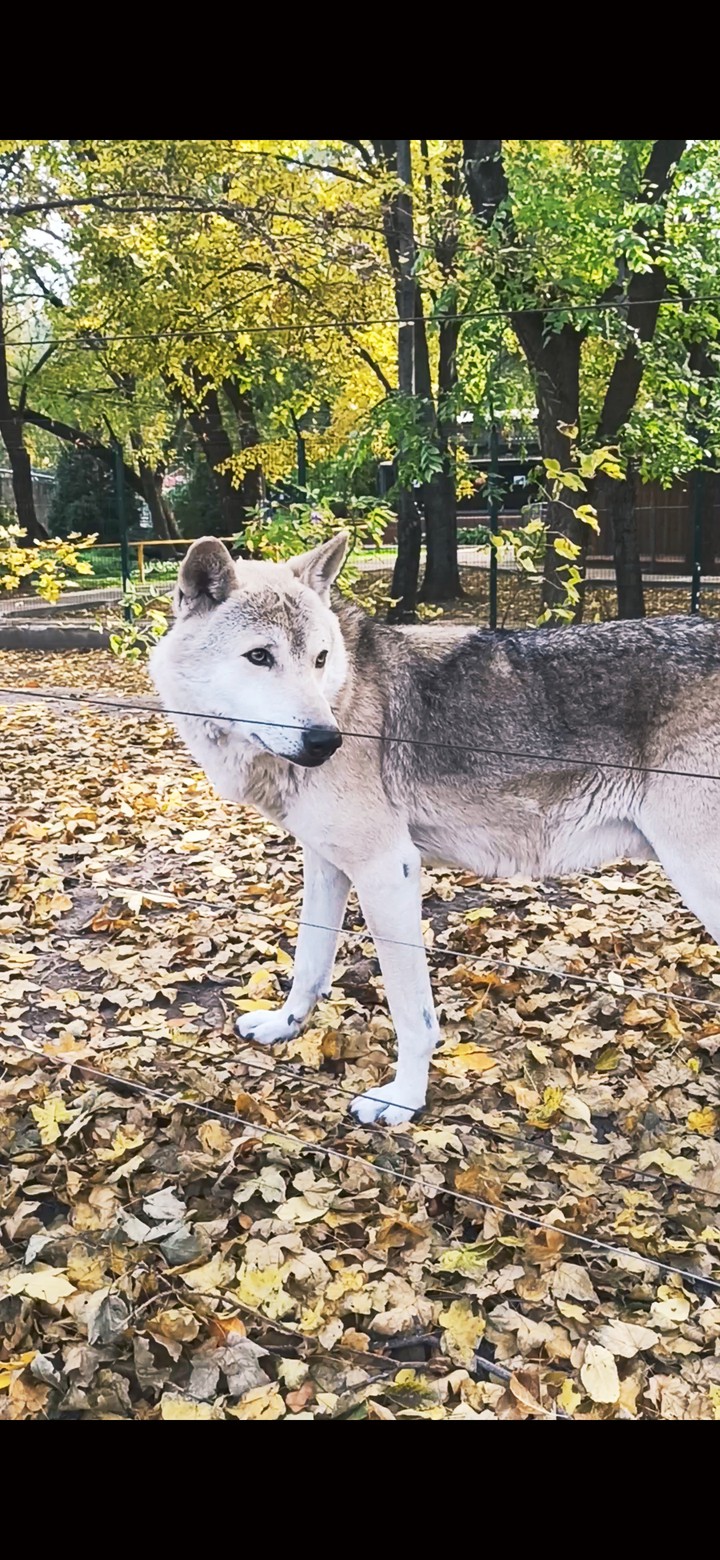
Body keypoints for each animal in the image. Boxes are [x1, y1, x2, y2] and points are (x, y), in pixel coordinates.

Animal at [150, 531, 720, 1124]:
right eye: (260, 656)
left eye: (319, 659)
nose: (326, 741)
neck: (347, 695)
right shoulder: (326, 864)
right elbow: (309, 963)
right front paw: (284, 1026)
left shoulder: (389, 870)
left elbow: (412, 1014)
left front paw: (403, 1100)